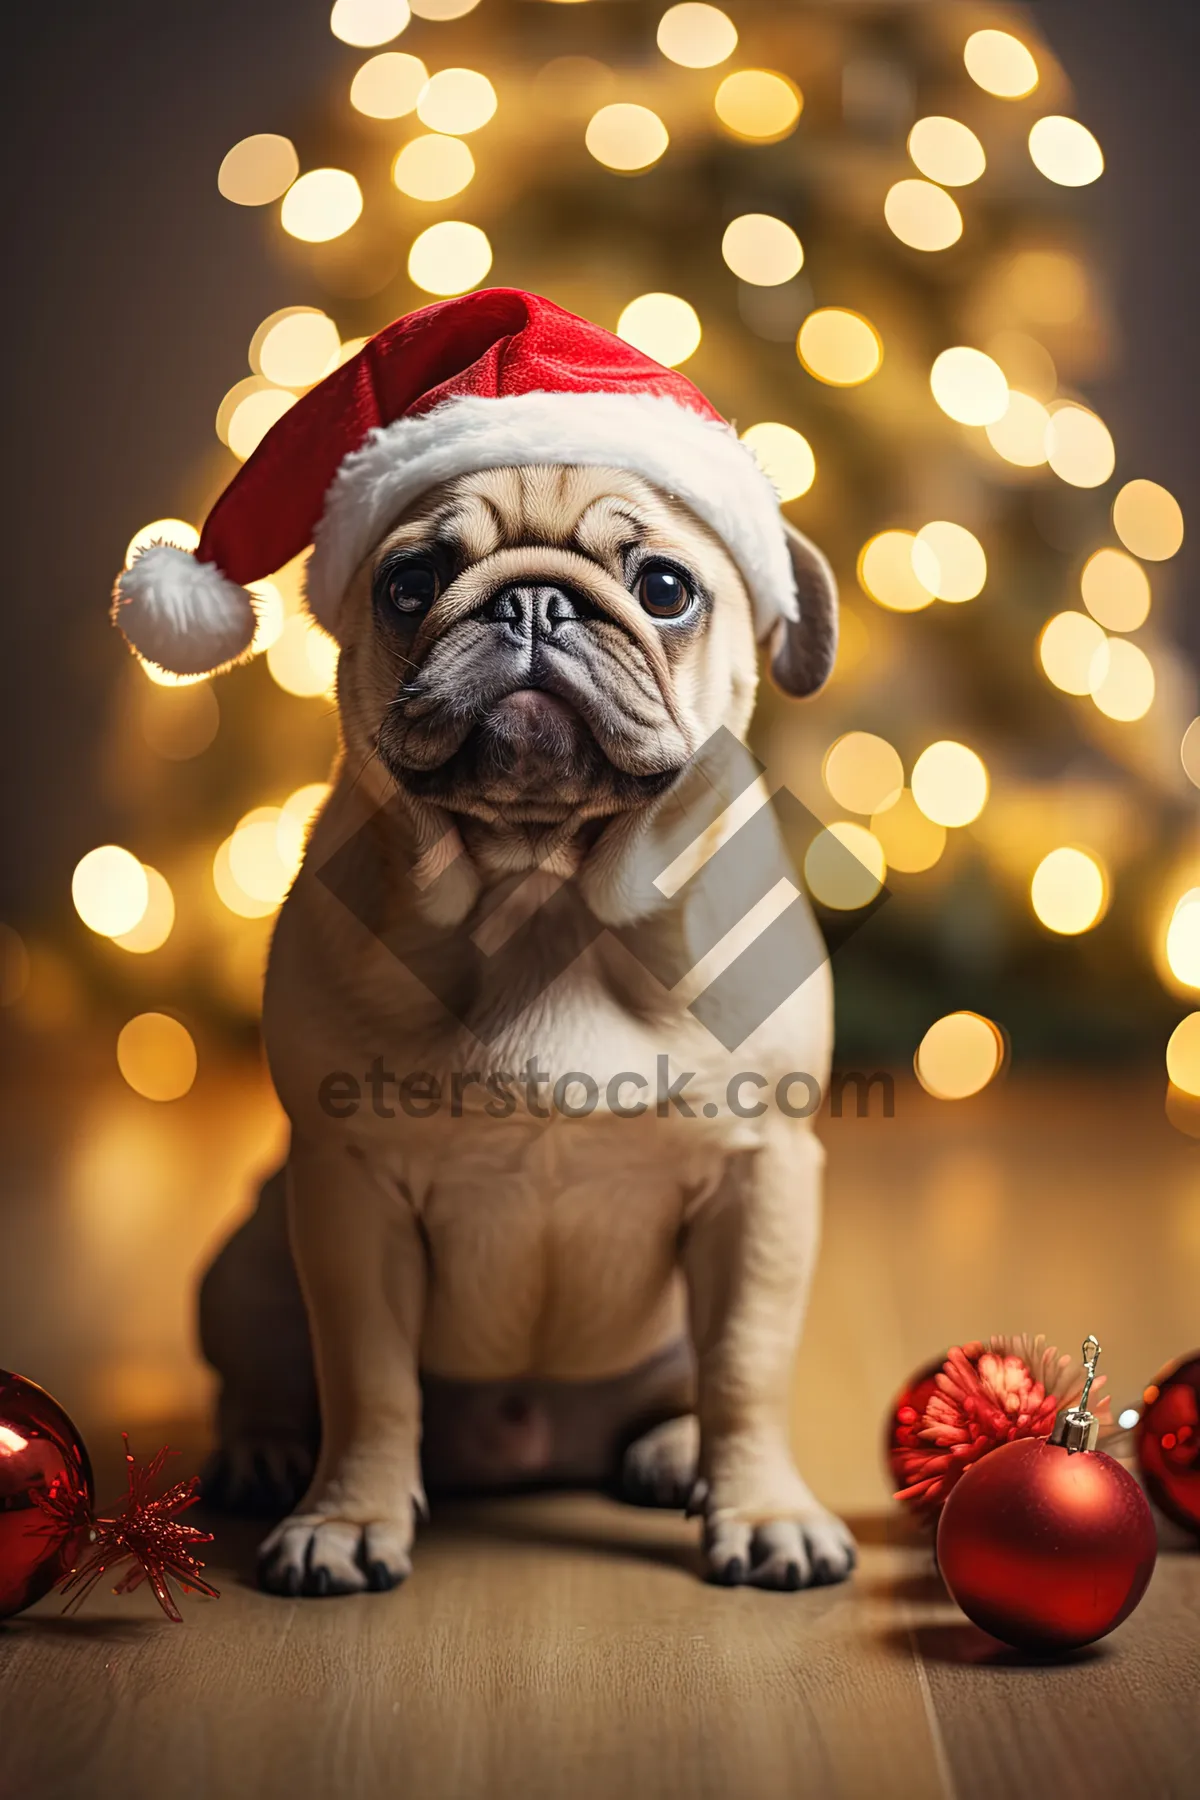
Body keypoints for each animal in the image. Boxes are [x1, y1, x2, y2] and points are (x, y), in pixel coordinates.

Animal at [199, 453, 852, 1605]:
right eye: (409, 583)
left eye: (667, 589)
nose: (533, 601)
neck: (545, 900)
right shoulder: (350, 1190)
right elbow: (366, 1375)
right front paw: (347, 1519)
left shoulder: (761, 1175)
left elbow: (746, 1366)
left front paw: (765, 1510)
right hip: (246, 1260)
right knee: (270, 1369)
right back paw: (264, 1451)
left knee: (692, 1381)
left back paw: (674, 1449)